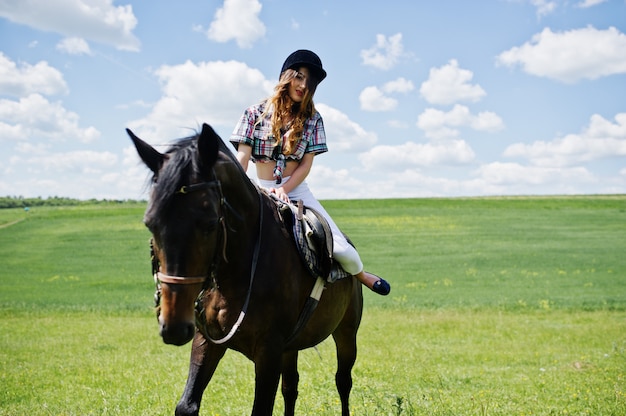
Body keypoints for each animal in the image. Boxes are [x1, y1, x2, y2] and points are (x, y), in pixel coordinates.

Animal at [127, 122, 364, 414]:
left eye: (209, 223)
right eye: (151, 222)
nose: (173, 326)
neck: (237, 274)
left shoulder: (269, 352)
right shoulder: (206, 340)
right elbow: (187, 404)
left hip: (346, 333)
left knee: (343, 382)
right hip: (291, 348)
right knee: (291, 388)